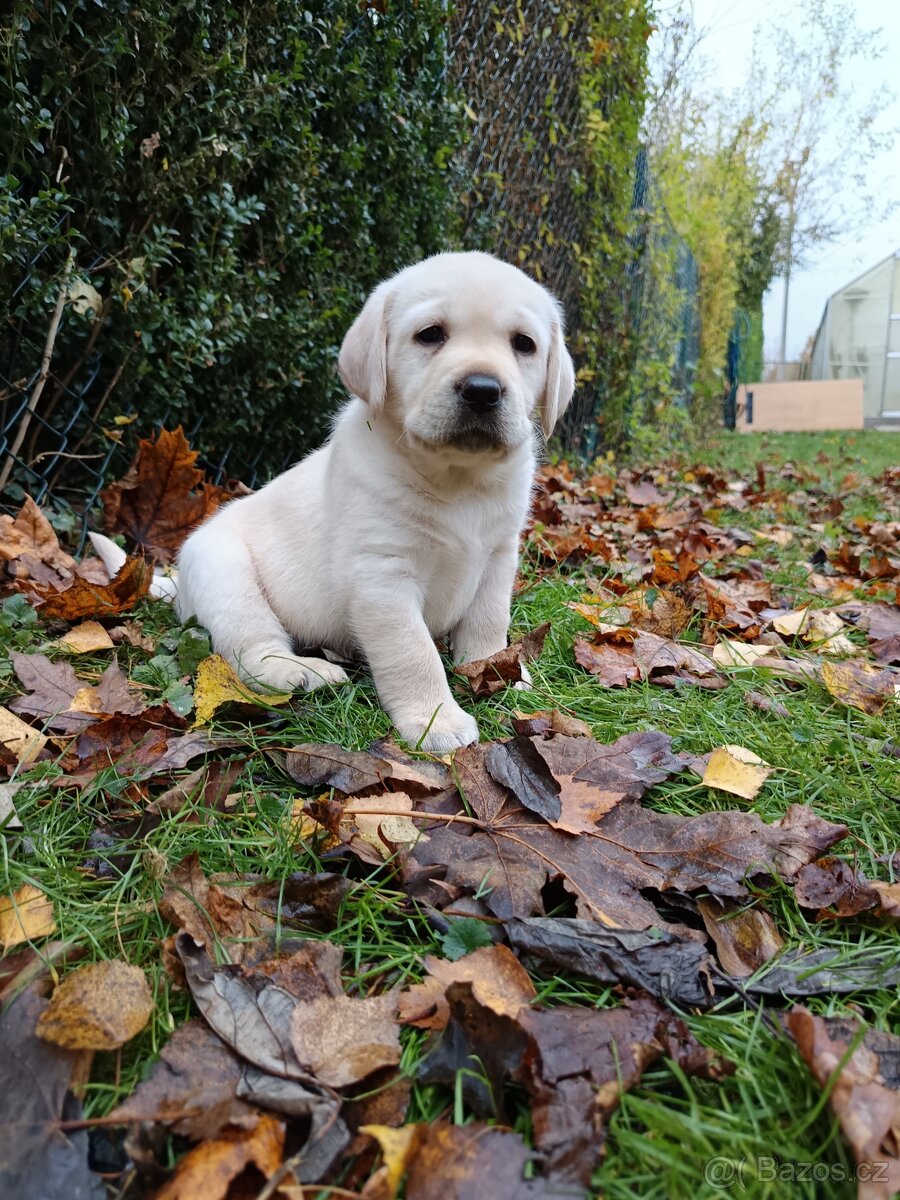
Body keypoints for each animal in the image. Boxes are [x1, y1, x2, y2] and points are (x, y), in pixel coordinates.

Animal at [95, 253, 573, 748]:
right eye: (430, 334)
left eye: (523, 344)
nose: (482, 389)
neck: (457, 479)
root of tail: (178, 584)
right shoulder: (382, 577)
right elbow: (413, 652)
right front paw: (435, 720)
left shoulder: (498, 557)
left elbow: (488, 623)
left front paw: (497, 674)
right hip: (223, 573)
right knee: (250, 654)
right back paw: (304, 672)